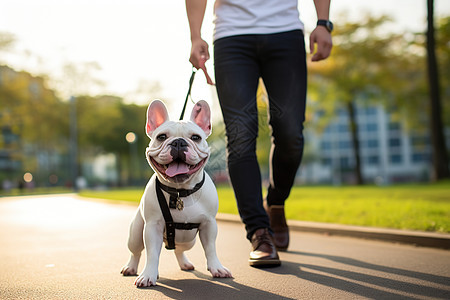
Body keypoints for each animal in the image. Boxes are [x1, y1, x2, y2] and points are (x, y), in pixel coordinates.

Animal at [120, 99, 232, 288]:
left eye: (196, 137)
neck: (181, 192)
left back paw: (184, 263)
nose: (179, 142)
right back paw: (131, 268)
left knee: (179, 249)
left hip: (188, 241)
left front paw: (217, 268)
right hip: (135, 234)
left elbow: (210, 248)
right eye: (161, 137)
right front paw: (148, 275)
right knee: (136, 252)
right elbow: (152, 254)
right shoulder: (152, 227)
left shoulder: (209, 224)